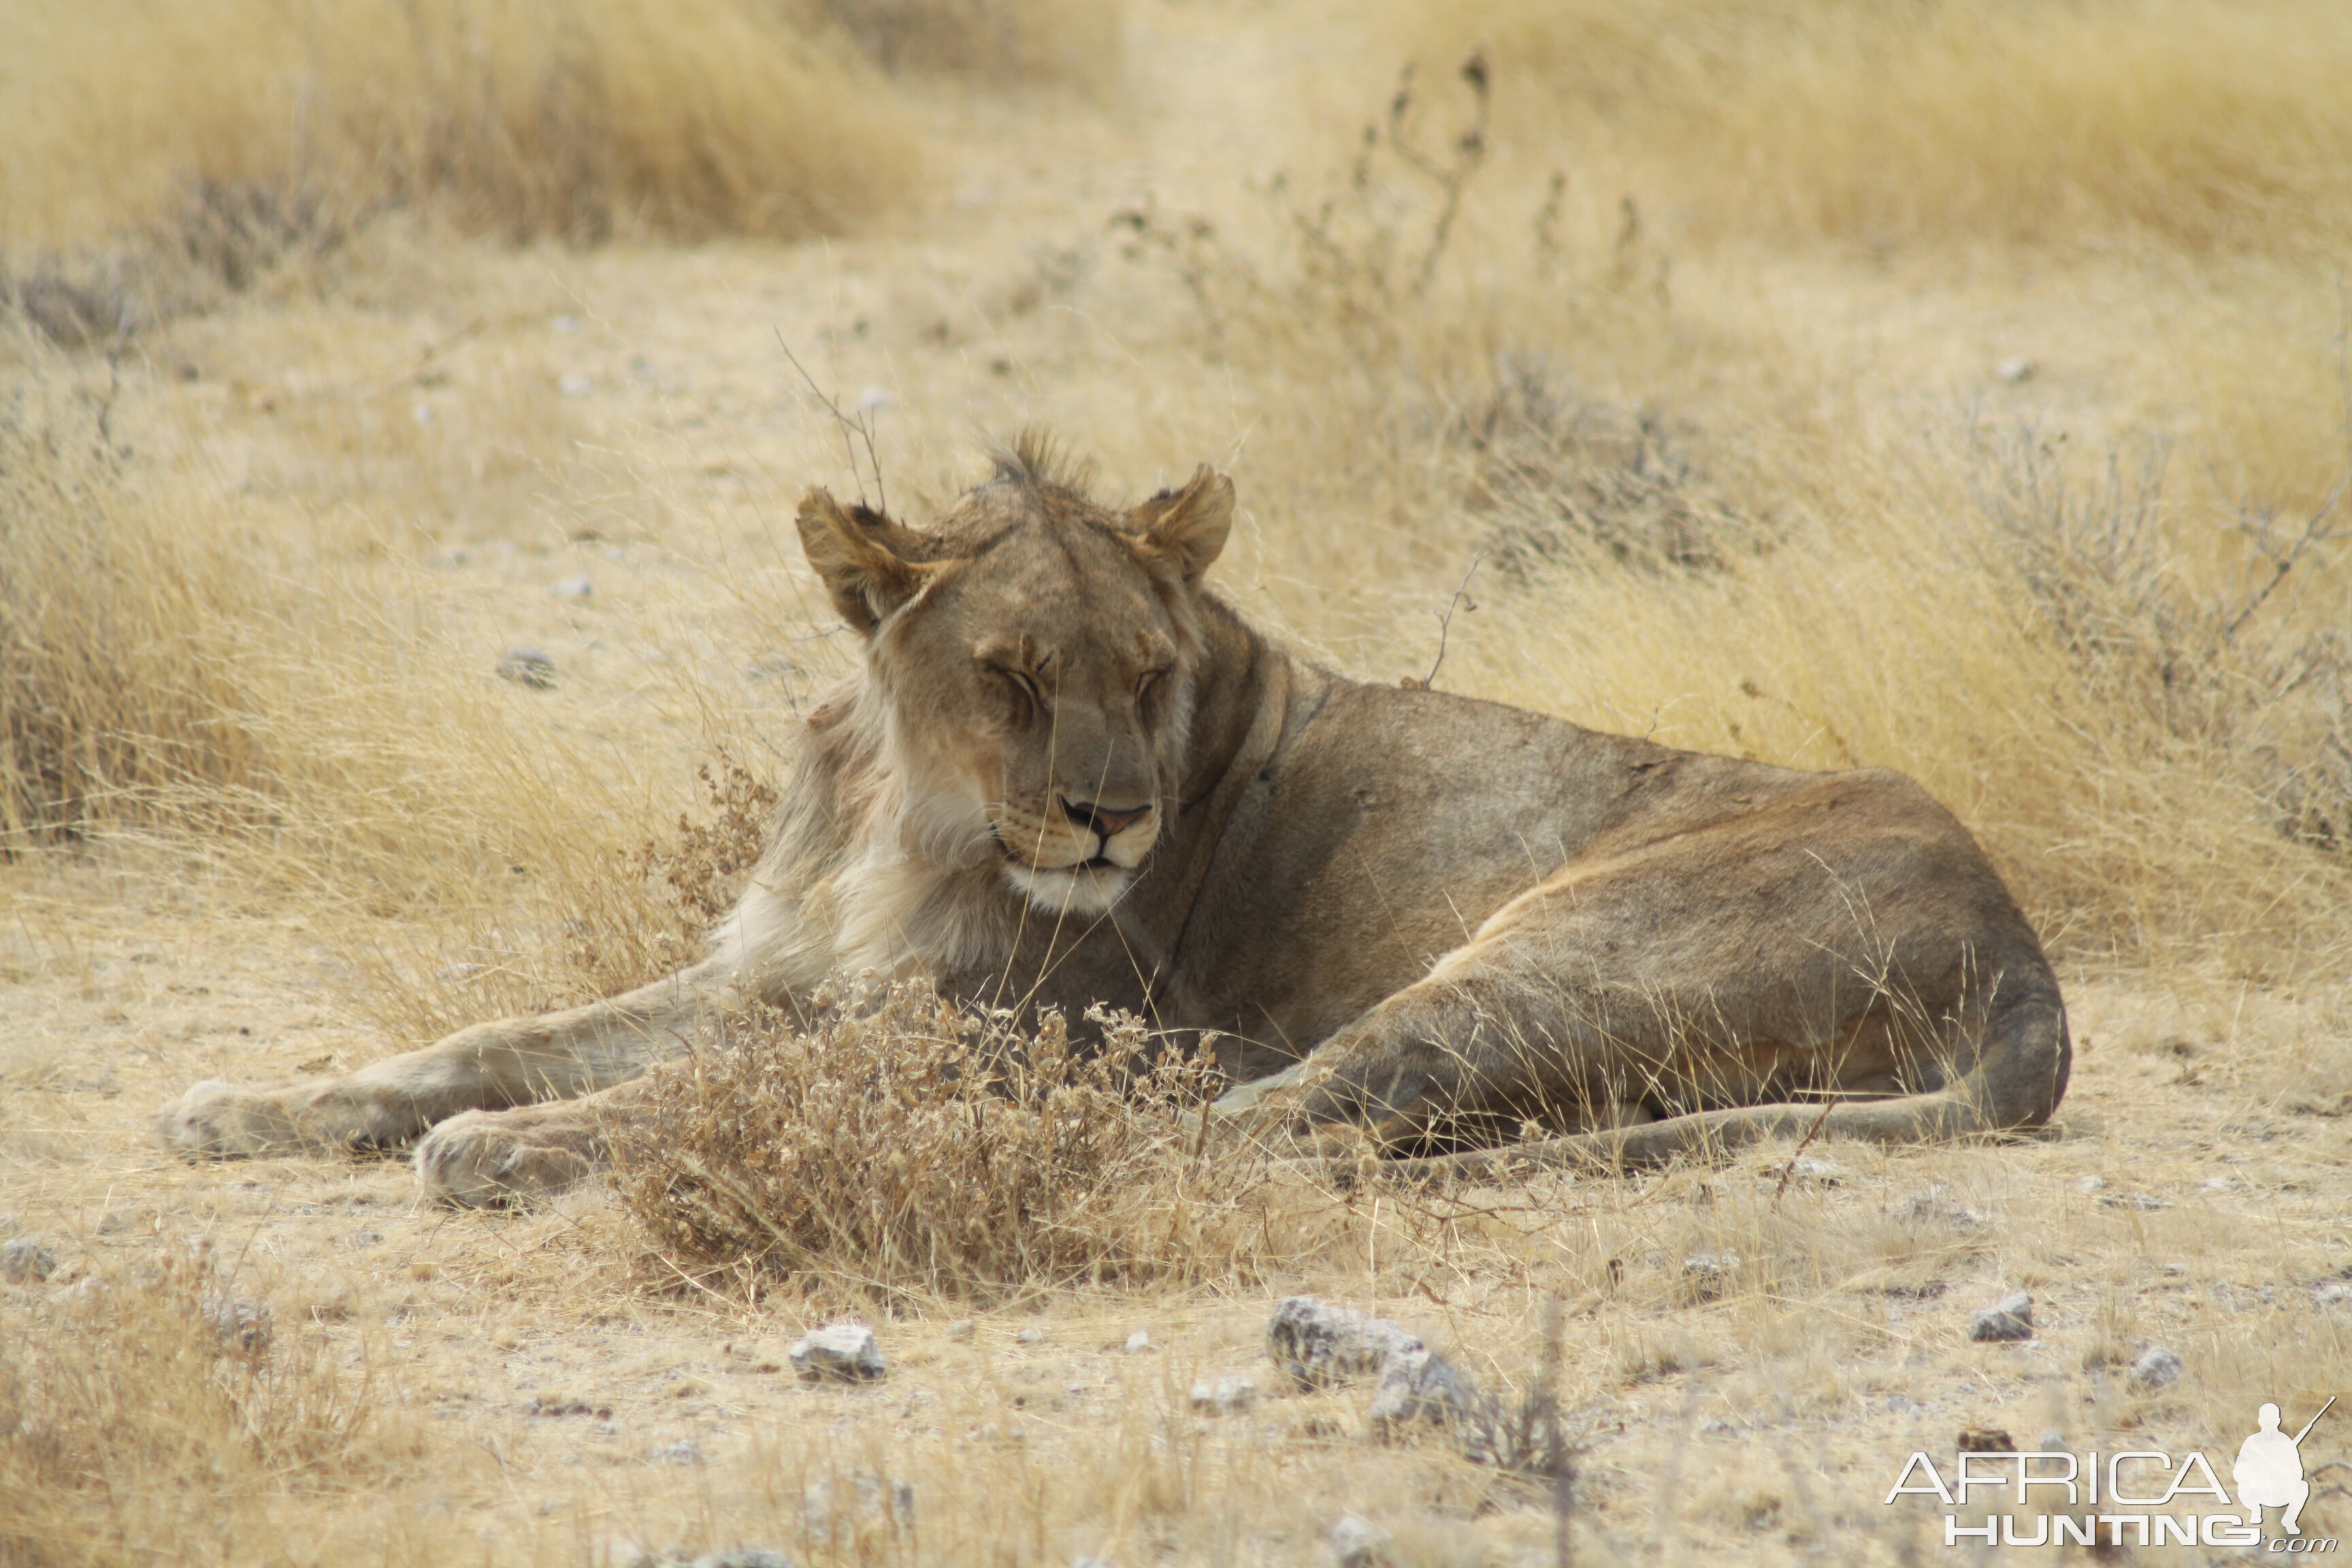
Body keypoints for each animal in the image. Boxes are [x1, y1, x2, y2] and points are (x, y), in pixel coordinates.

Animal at [156, 435, 2070, 1213]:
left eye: (1148, 674)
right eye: (1011, 675)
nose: (1108, 826)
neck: (903, 812)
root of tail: (2024, 960)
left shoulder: (972, 1026)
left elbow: (673, 1095)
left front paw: (507, 1149)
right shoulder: (784, 977)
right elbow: (496, 1035)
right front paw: (250, 1105)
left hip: (1552, 946)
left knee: (1270, 1123)